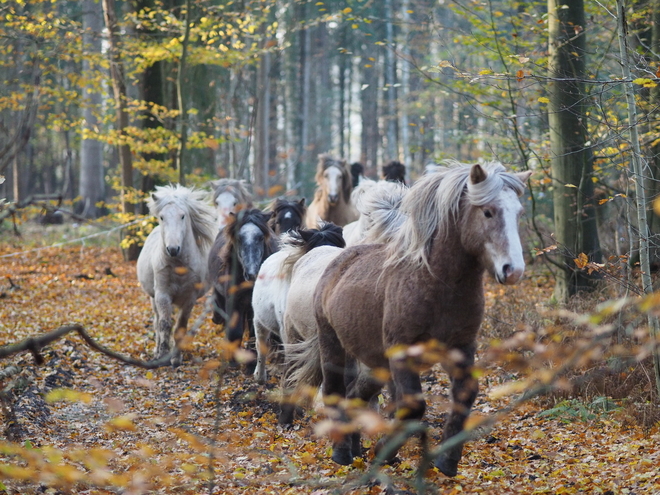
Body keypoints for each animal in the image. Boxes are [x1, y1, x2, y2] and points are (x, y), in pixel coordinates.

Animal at [135, 184, 215, 366]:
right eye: (162, 217)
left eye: (183, 216)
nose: (172, 249)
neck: (179, 267)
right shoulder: (162, 294)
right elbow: (164, 324)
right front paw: (162, 356)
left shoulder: (189, 298)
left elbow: (180, 327)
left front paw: (176, 359)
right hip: (153, 298)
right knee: (157, 321)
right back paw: (157, 351)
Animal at [208, 208, 278, 360]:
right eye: (239, 239)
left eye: (261, 238)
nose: (251, 274)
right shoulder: (233, 302)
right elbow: (235, 333)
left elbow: (253, 335)